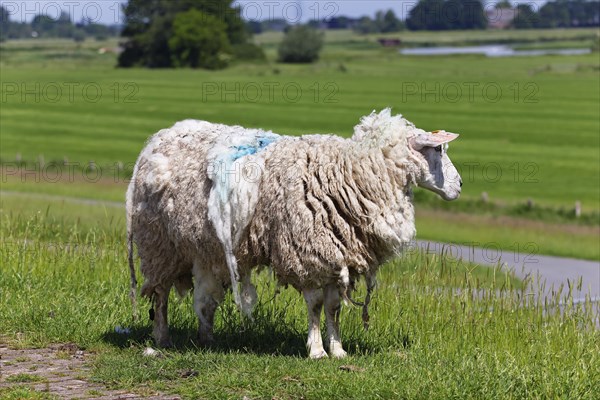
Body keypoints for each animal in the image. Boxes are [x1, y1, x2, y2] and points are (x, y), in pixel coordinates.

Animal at [126, 108, 462, 358]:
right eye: (436, 149)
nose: (459, 186)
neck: (353, 172)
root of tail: (156, 141)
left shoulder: (336, 257)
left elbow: (333, 307)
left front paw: (338, 350)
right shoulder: (307, 253)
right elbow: (315, 305)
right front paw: (316, 351)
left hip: (203, 249)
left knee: (204, 299)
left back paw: (207, 339)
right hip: (160, 244)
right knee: (160, 294)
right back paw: (162, 337)